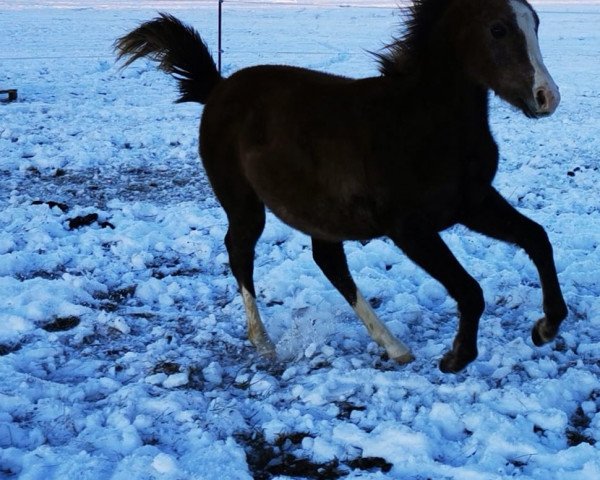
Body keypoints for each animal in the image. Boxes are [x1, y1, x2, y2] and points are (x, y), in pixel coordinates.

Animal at [116, 0, 568, 376]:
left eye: (536, 22)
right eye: (497, 29)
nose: (547, 97)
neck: (423, 122)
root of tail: (218, 87)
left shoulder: (472, 204)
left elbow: (538, 238)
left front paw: (546, 327)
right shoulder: (409, 227)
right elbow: (471, 290)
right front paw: (456, 357)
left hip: (320, 212)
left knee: (328, 261)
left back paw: (393, 346)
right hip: (244, 203)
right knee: (240, 251)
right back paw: (264, 342)